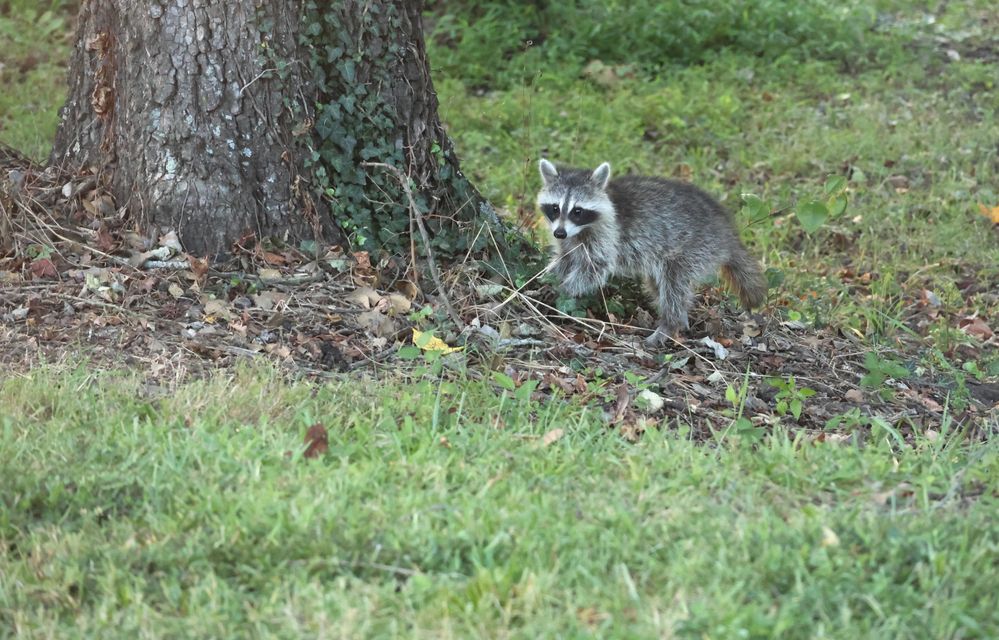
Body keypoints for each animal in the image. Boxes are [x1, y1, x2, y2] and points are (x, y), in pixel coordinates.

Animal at [540, 159, 764, 344]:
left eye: (577, 211)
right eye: (555, 208)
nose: (559, 233)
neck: (579, 230)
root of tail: (726, 233)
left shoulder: (606, 235)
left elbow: (595, 268)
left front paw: (564, 288)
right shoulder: (570, 241)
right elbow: (565, 259)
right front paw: (547, 278)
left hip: (694, 248)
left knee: (673, 285)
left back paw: (670, 324)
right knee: (659, 285)